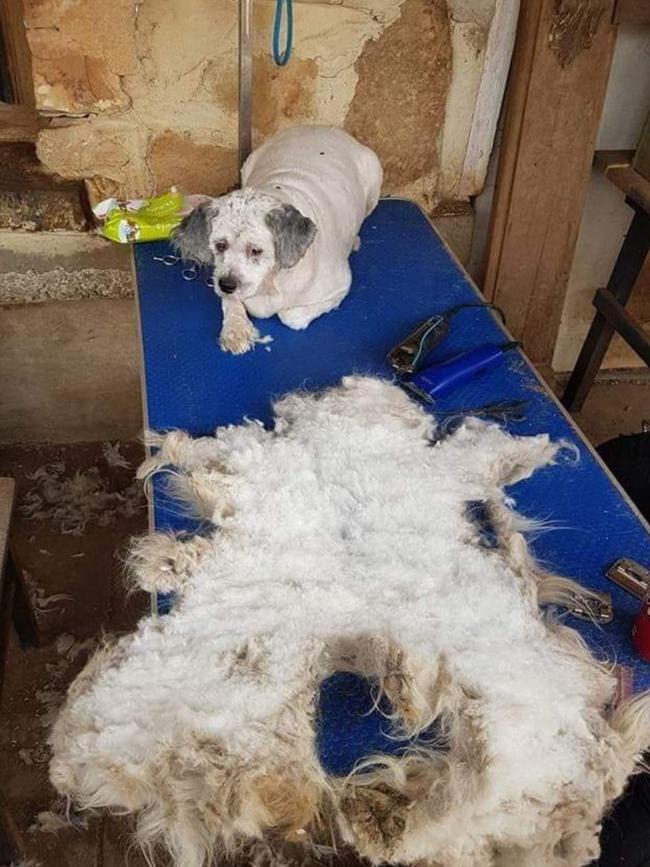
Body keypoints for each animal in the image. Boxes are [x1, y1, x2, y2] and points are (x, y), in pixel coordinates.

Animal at [172, 124, 382, 352]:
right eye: (220, 245)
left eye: (256, 250)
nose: (226, 285)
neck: (271, 281)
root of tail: (319, 127)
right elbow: (230, 302)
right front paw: (236, 328)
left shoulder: (340, 287)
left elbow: (290, 315)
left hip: (374, 174)